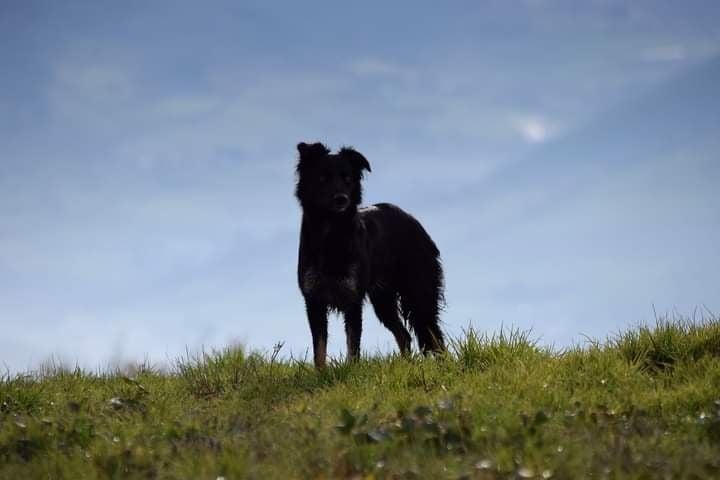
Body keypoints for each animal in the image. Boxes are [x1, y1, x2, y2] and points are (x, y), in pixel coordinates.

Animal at [294, 142, 444, 368]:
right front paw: (321, 374)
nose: (342, 199)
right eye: (323, 178)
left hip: (418, 291)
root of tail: (414, 222)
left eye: (347, 179)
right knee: (405, 335)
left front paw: (350, 371)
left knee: (434, 334)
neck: (330, 234)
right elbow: (319, 350)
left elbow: (352, 346)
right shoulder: (314, 301)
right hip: (383, 300)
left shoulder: (352, 300)